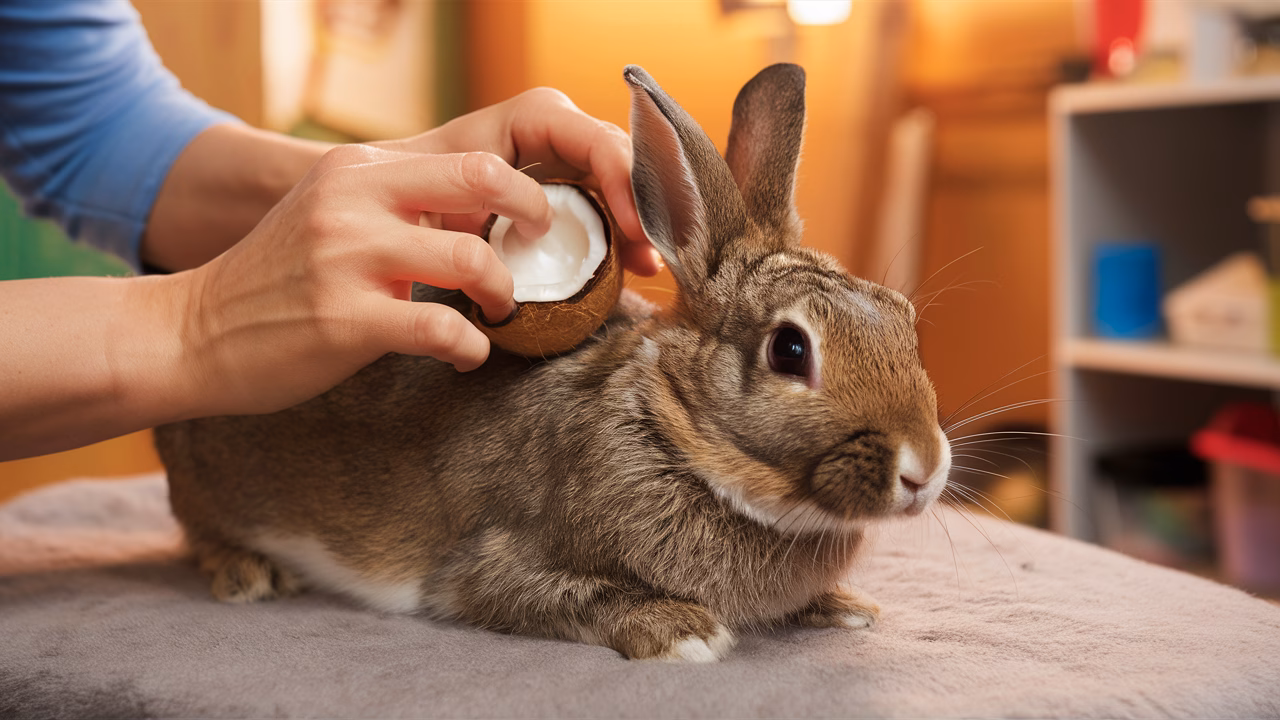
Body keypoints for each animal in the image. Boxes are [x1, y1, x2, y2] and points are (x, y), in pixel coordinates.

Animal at [155, 63, 951, 662]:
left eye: (904, 320)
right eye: (790, 350)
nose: (924, 469)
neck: (673, 433)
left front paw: (843, 606)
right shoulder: (490, 568)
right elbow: (549, 594)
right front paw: (682, 631)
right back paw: (248, 573)